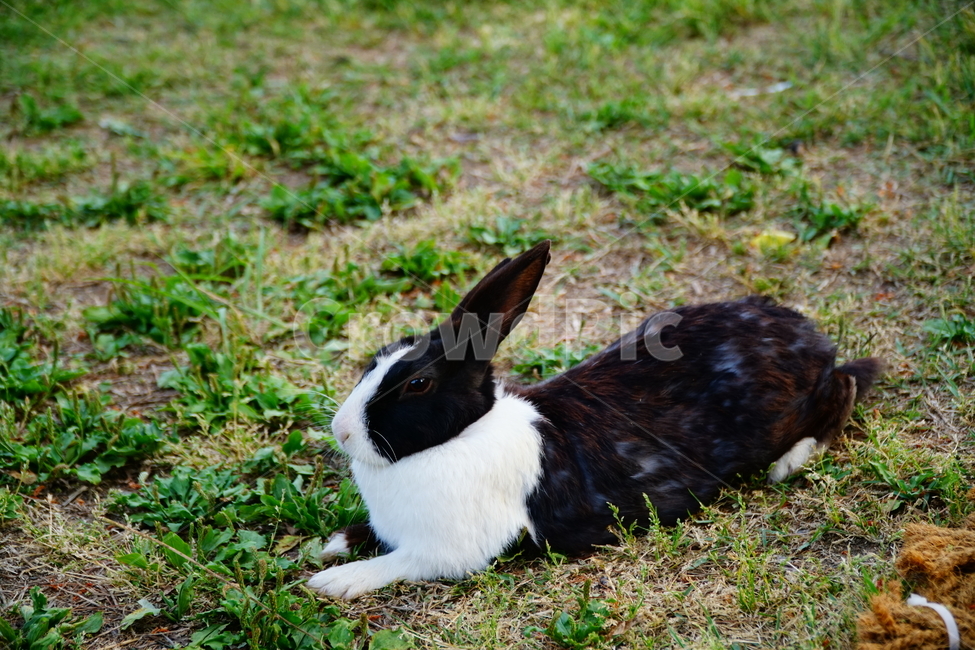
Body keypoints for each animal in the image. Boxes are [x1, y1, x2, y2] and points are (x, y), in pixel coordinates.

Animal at [306, 240, 883, 599]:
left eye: (418, 384)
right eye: (377, 357)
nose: (342, 432)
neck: (460, 436)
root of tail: (807, 336)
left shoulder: (449, 551)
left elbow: (399, 562)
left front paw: (334, 582)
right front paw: (333, 543)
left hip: (797, 406)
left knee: (847, 387)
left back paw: (790, 462)